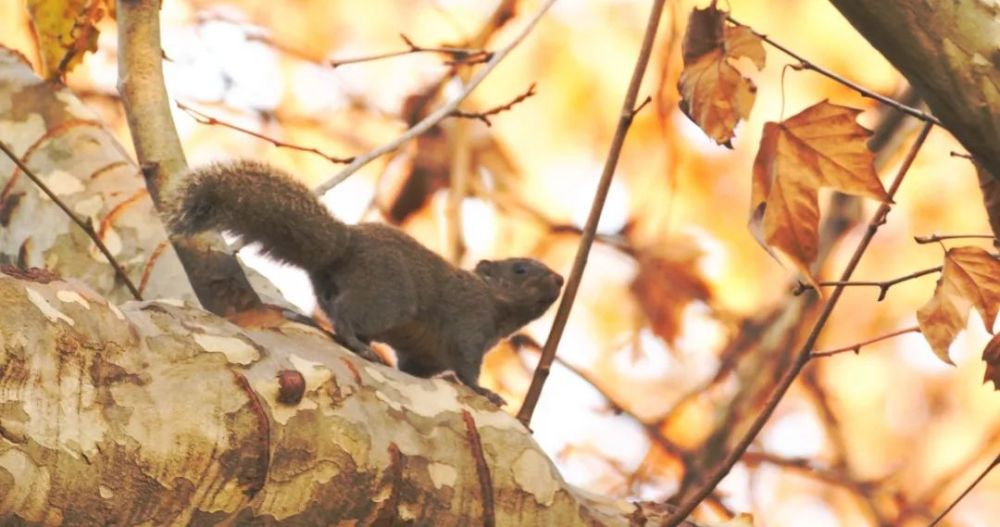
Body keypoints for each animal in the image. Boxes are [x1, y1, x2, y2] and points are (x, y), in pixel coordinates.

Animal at [168, 160, 568, 404]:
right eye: (520, 269)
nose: (561, 278)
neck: (492, 303)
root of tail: (345, 244)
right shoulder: (470, 326)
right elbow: (468, 370)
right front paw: (486, 393)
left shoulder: (422, 359)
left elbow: (416, 369)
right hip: (385, 301)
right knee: (346, 317)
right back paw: (359, 345)